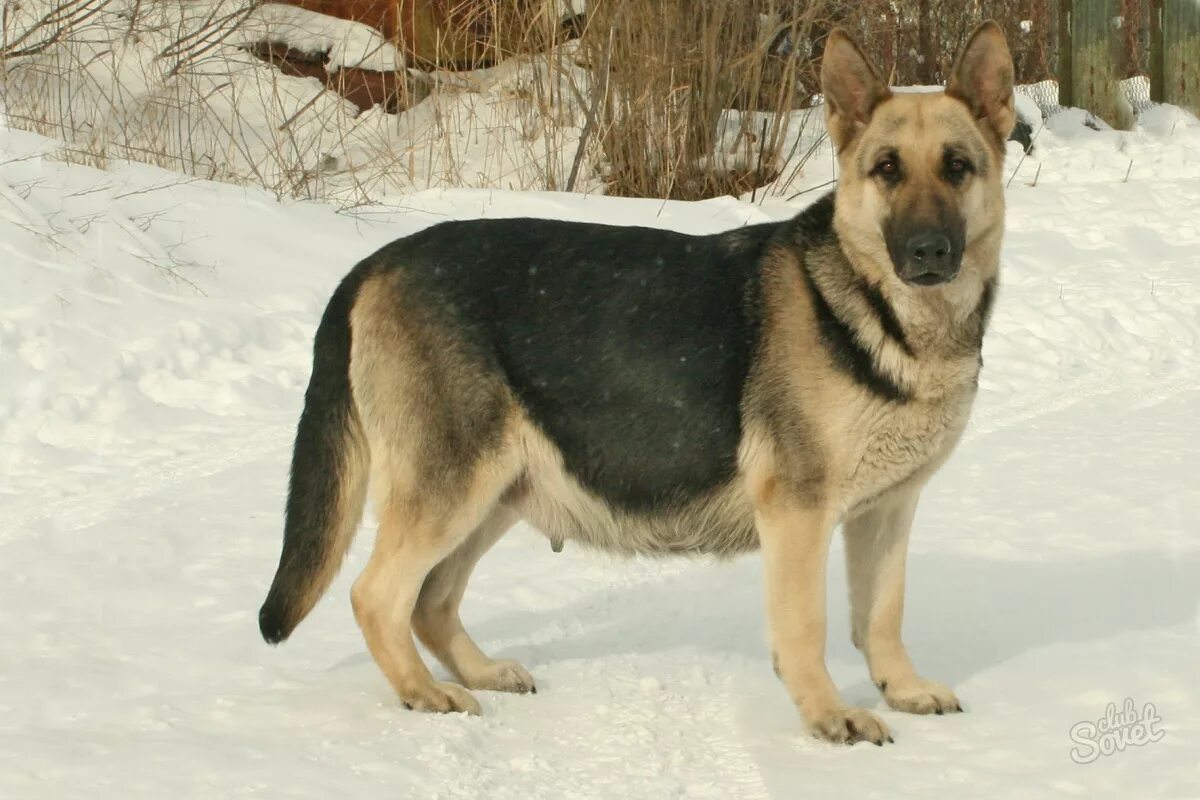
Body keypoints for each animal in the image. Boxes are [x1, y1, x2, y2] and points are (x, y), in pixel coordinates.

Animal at [260, 23, 1012, 753]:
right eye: (887, 170)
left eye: (957, 167)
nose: (928, 252)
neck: (883, 311)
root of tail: (373, 263)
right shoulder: (798, 512)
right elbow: (807, 627)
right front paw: (830, 716)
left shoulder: (888, 511)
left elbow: (882, 615)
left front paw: (902, 689)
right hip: (452, 486)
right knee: (376, 594)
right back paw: (424, 693)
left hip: (497, 489)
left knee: (430, 600)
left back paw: (479, 672)